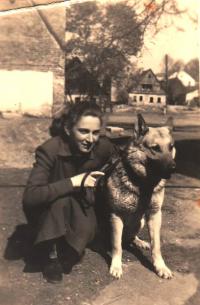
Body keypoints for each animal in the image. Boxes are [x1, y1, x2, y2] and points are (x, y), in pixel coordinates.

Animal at [105, 114, 176, 278]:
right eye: (155, 148)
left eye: (171, 147)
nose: (173, 168)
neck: (143, 184)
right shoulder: (116, 216)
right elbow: (116, 245)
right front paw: (116, 266)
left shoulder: (155, 215)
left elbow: (156, 245)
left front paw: (160, 266)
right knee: (121, 241)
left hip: (142, 221)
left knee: (132, 236)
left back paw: (139, 241)